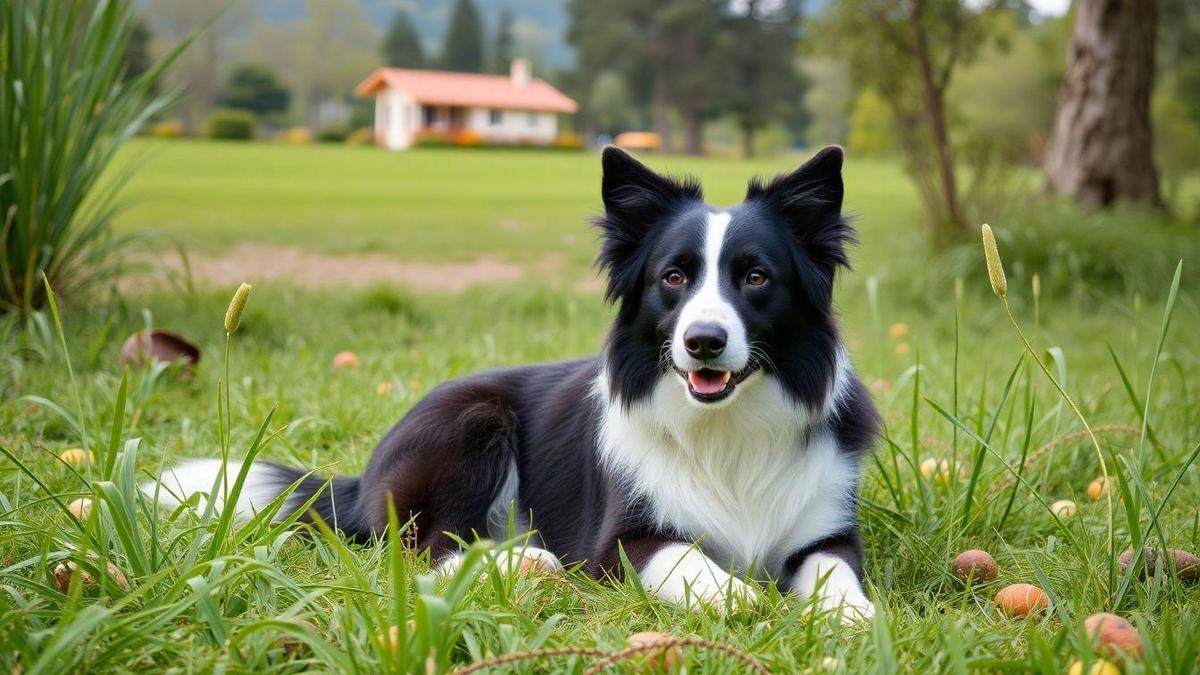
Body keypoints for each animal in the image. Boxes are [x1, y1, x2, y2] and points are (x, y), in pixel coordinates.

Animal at [150, 147, 883, 619]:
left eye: (756, 277)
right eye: (673, 277)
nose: (703, 340)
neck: (726, 427)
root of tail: (363, 478)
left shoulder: (825, 528)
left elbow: (834, 569)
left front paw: (853, 616)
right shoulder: (616, 542)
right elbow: (685, 557)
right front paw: (737, 594)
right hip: (473, 421)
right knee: (425, 547)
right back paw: (520, 562)